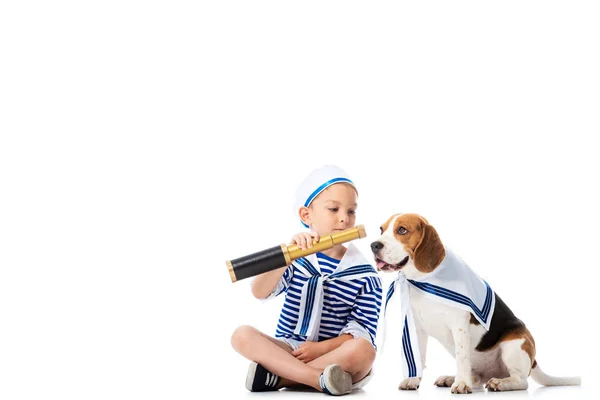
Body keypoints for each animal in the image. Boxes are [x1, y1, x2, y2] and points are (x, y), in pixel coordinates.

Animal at [370, 214, 580, 392]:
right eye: (381, 229)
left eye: (402, 230)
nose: (374, 245)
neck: (423, 280)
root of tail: (533, 360)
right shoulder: (417, 326)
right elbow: (418, 357)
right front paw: (413, 379)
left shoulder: (459, 324)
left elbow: (462, 357)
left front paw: (462, 384)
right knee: (479, 377)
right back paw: (453, 378)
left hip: (513, 346)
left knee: (521, 381)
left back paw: (499, 383)